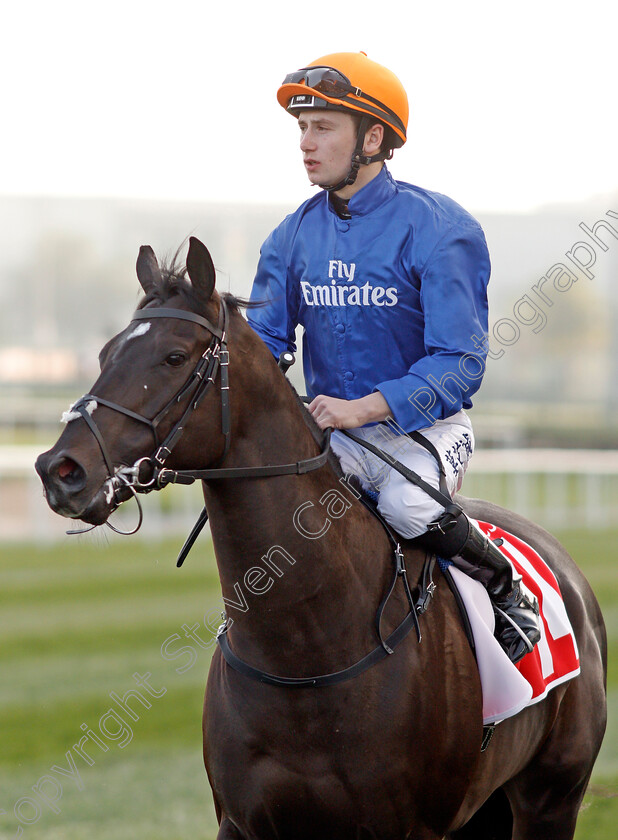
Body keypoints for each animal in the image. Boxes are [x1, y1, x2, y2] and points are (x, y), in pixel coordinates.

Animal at [36, 236, 604, 840]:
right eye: (104, 354)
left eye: (174, 357)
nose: (60, 469)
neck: (306, 652)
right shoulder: (242, 820)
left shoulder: (412, 825)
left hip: (551, 797)